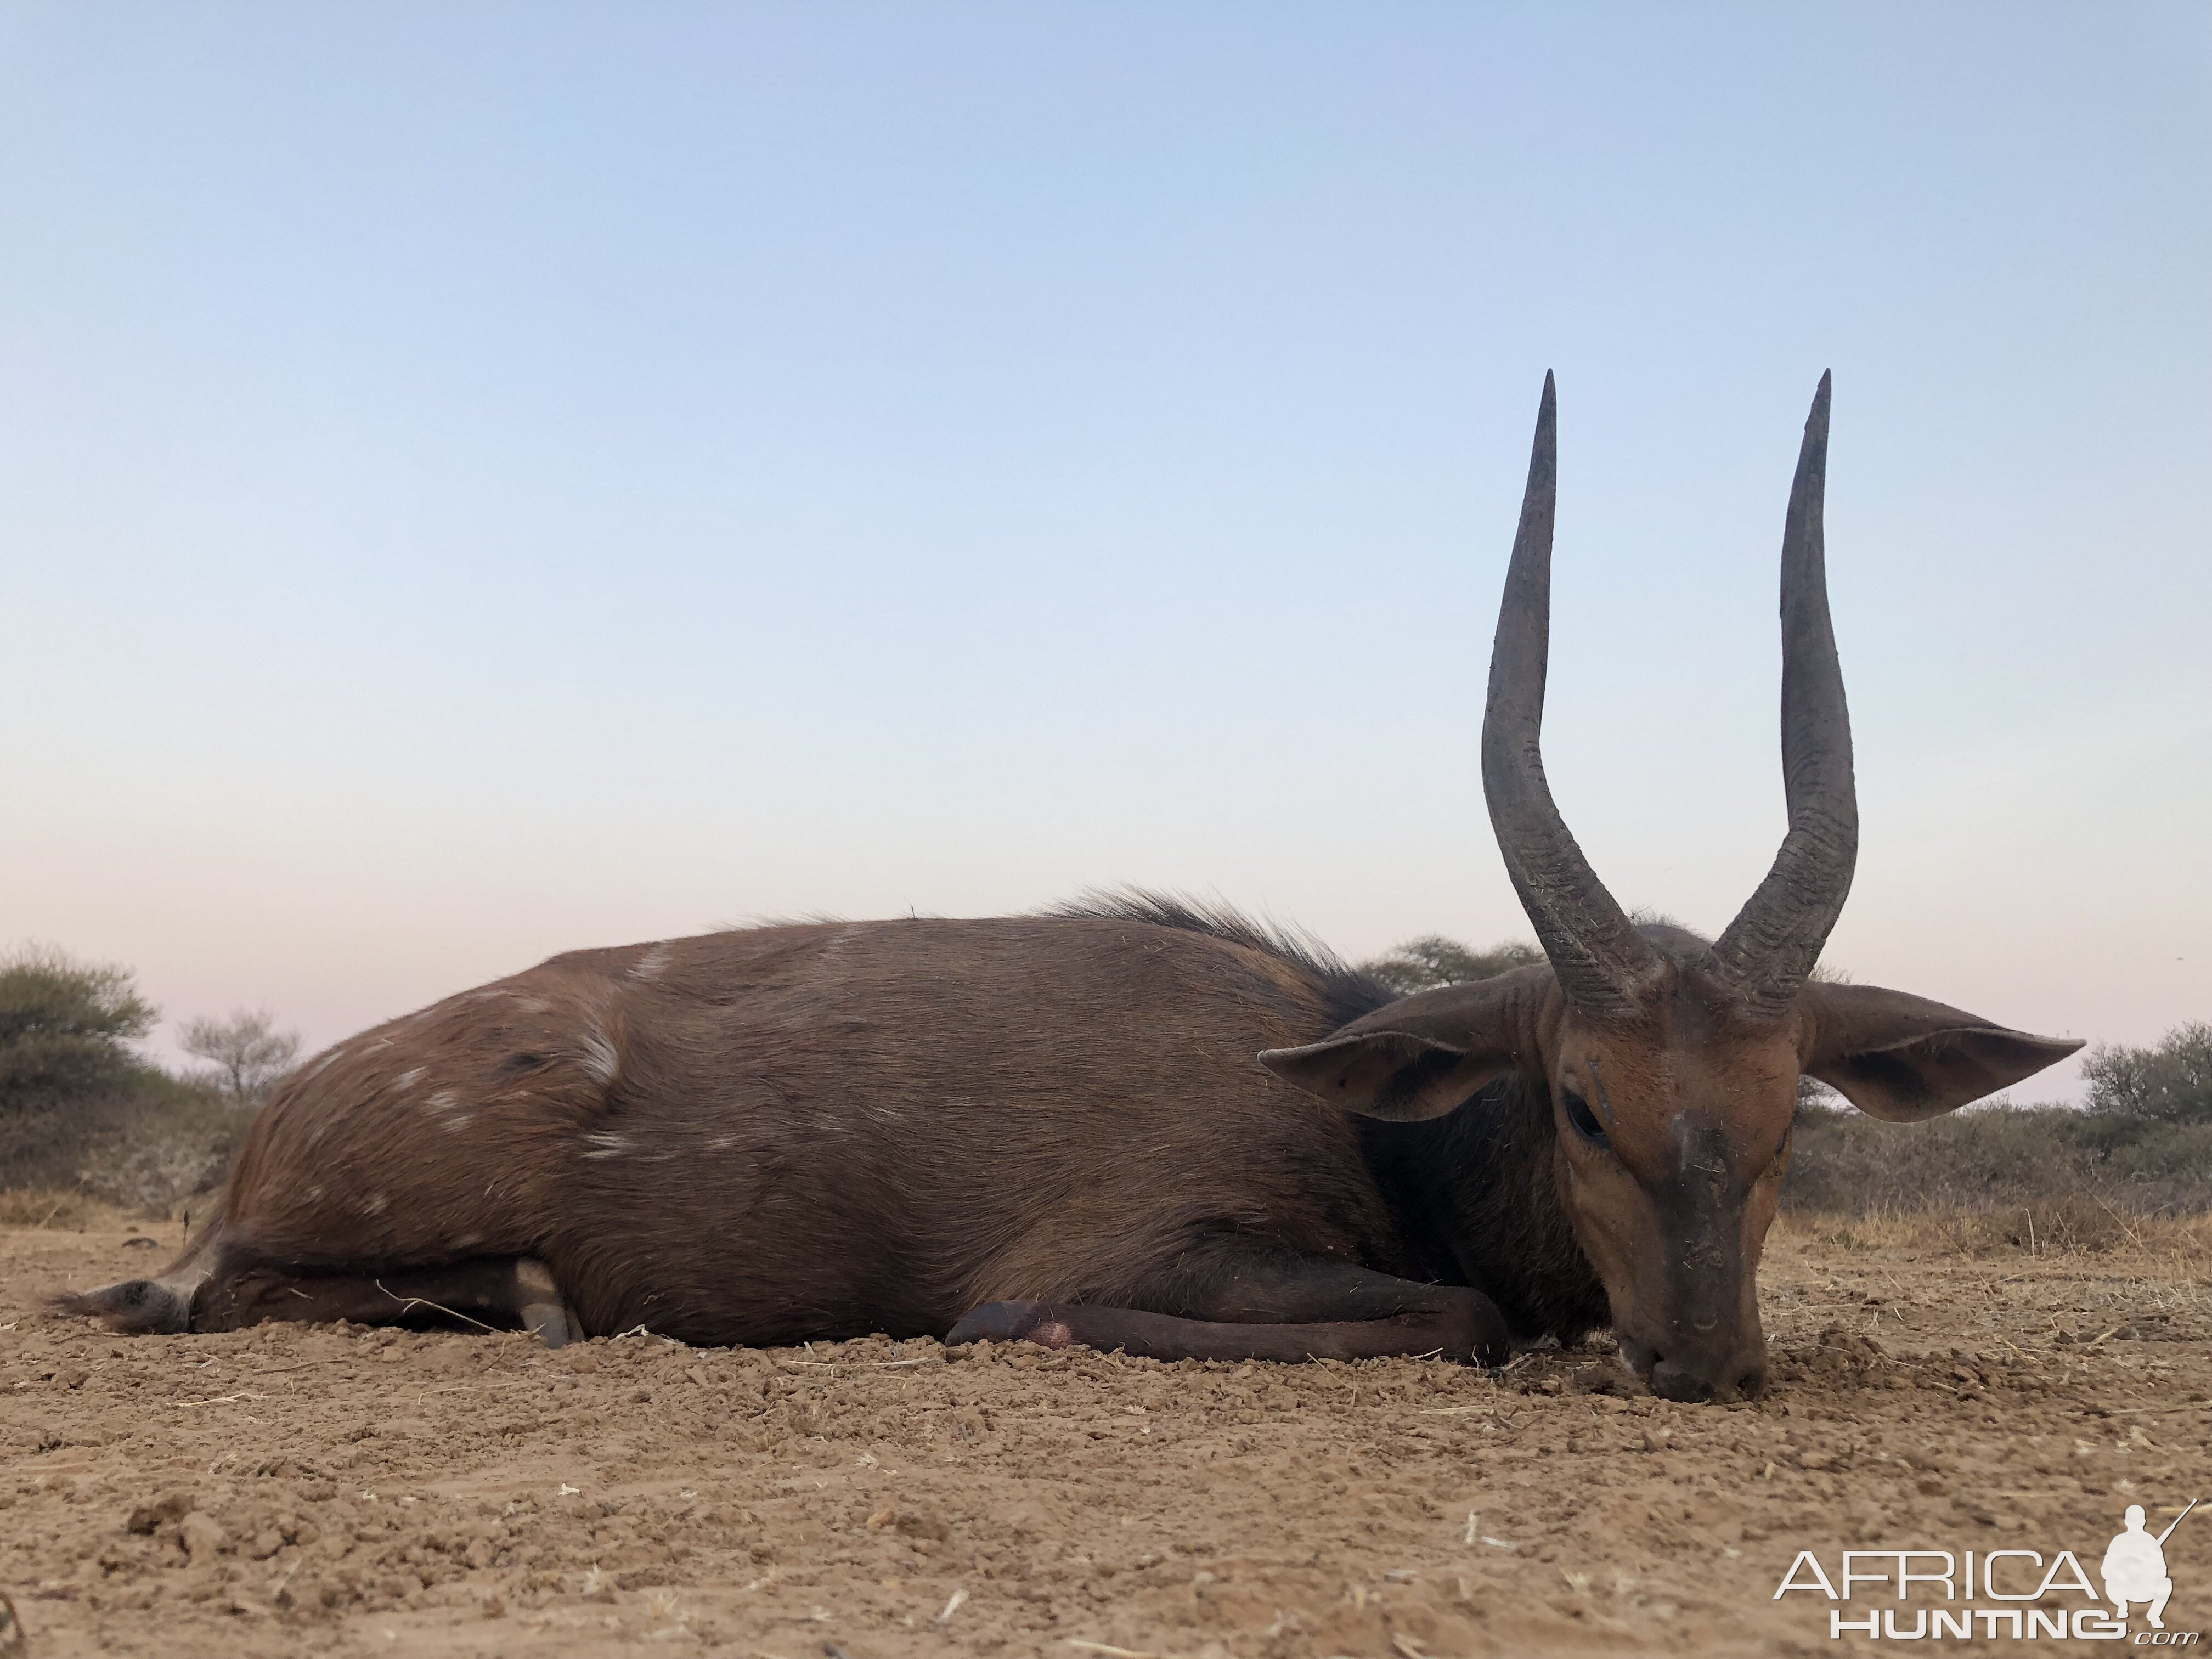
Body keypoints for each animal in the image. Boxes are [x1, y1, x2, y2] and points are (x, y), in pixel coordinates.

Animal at [64, 376, 2070, 1407]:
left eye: (1791, 1108)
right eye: (1581, 1099)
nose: (1711, 1362)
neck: (1357, 1106)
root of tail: (274, 1122)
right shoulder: (1115, 1256)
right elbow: (1467, 1318)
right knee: (237, 1293)